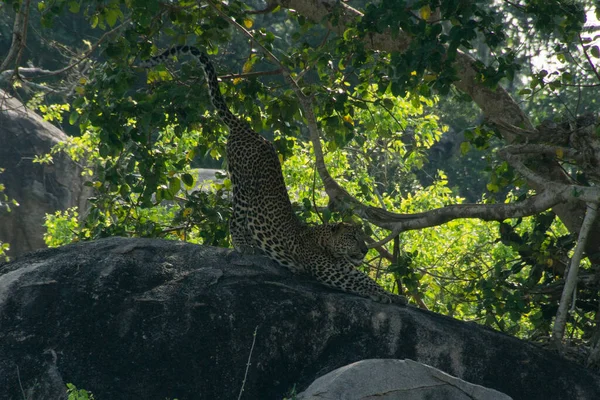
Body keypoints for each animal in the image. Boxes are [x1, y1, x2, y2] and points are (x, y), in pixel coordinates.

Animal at [141, 45, 406, 304]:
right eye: (352, 237)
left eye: (363, 238)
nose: (364, 251)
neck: (326, 243)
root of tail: (246, 128)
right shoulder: (328, 271)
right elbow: (357, 284)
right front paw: (383, 296)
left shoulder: (346, 267)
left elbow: (366, 279)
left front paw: (393, 295)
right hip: (243, 184)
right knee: (235, 218)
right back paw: (244, 246)